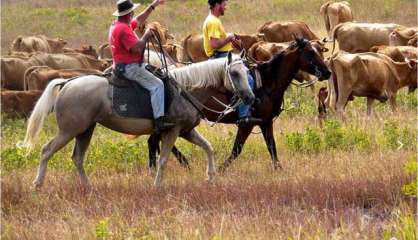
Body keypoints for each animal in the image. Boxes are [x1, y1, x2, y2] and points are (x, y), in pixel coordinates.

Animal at [147, 38, 330, 171]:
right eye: (310, 53)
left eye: (319, 50)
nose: (327, 72)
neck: (266, 83)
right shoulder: (247, 124)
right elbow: (237, 149)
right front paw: (221, 169)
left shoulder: (266, 122)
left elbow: (272, 147)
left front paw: (279, 169)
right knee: (155, 141)